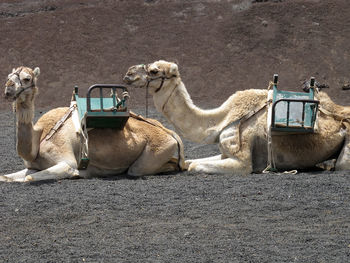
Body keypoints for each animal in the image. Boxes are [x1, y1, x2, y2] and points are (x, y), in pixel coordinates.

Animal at [0, 66, 186, 184]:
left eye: (27, 78)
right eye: (8, 77)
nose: (8, 88)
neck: (40, 137)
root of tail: (170, 133)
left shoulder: (66, 162)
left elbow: (30, 178)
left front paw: (76, 175)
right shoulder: (34, 166)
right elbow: (6, 177)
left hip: (156, 152)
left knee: (146, 168)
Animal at [123, 60, 350, 174]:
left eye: (154, 71)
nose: (128, 74)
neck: (221, 120)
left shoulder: (241, 160)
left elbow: (194, 166)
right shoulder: (224, 153)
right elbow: (190, 162)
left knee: (342, 165)